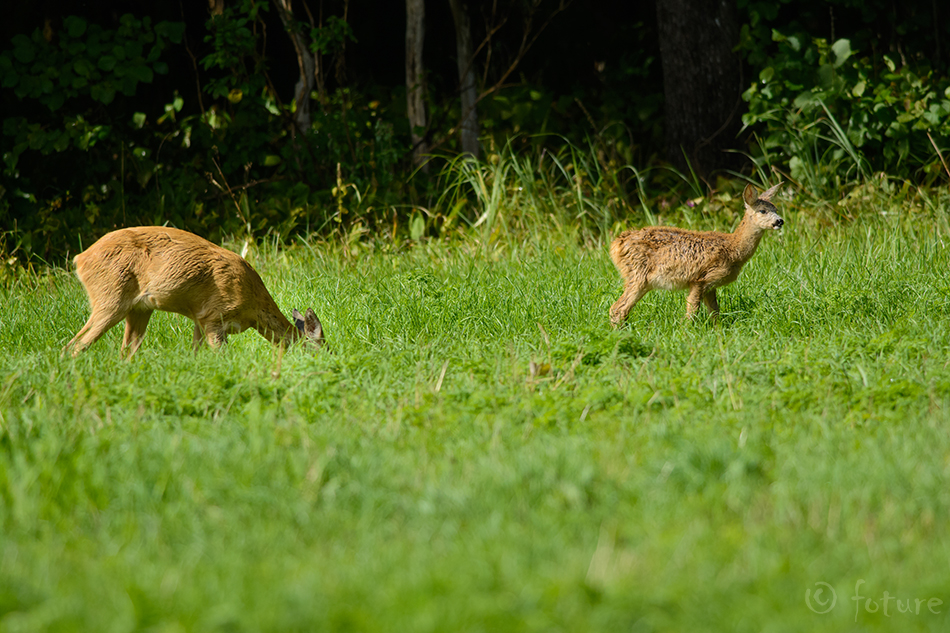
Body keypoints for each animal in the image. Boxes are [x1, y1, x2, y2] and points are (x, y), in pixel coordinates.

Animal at [65, 226, 328, 356]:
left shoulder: (199, 319)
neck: (252, 308)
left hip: (139, 309)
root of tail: (81, 258)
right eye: (320, 350)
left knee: (126, 352)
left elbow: (195, 353)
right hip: (110, 297)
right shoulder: (214, 317)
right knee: (74, 346)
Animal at [612, 180, 784, 324]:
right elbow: (692, 311)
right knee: (618, 309)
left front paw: (717, 331)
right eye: (762, 211)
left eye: (775, 209)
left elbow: (714, 312)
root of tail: (616, 245)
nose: (780, 221)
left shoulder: (711, 284)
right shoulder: (700, 279)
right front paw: (686, 331)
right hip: (638, 275)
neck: (733, 249)